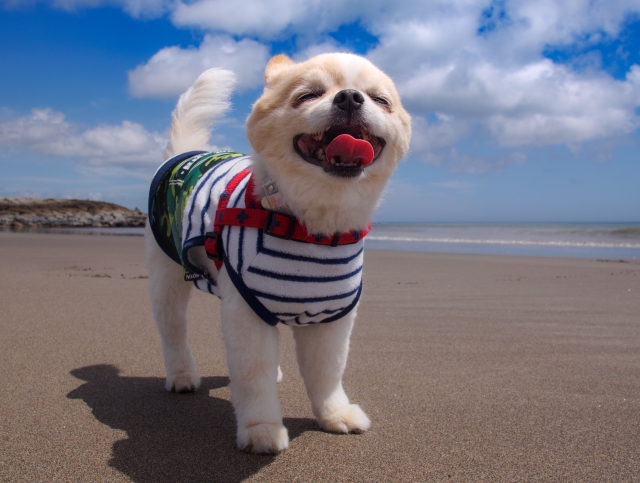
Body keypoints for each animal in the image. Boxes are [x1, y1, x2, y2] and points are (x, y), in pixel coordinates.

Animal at [146, 53, 412, 454]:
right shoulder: (246, 313)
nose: (350, 97)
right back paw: (181, 375)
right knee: (173, 329)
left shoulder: (331, 317)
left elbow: (327, 372)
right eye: (308, 95)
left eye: (380, 100)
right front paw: (262, 430)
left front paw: (335, 414)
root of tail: (185, 154)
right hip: (167, 277)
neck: (310, 229)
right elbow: (252, 375)